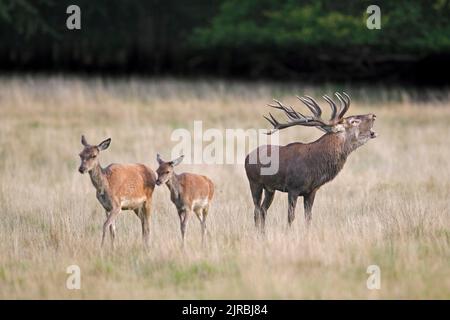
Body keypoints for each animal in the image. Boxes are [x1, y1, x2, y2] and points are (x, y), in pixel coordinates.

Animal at [244, 92, 378, 230]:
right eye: (353, 121)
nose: (373, 115)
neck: (314, 166)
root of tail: (247, 157)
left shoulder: (312, 191)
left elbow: (308, 218)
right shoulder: (293, 187)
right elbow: (290, 217)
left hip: (270, 188)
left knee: (263, 210)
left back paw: (262, 232)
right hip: (254, 182)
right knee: (256, 210)